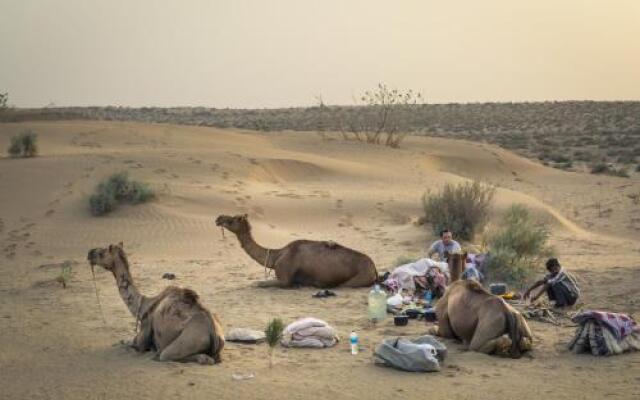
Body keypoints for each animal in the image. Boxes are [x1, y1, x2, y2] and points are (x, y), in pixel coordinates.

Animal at [86, 242, 224, 364]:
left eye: (101, 253)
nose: (89, 253)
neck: (142, 305)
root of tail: (214, 334)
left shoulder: (142, 336)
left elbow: (127, 343)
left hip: (189, 339)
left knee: (175, 355)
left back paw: (157, 355)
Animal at [215, 212, 378, 288]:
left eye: (232, 220)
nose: (218, 218)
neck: (276, 256)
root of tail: (374, 269)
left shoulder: (285, 280)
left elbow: (259, 283)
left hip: (357, 279)